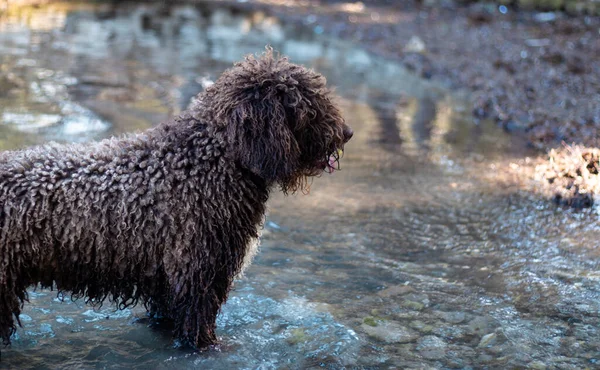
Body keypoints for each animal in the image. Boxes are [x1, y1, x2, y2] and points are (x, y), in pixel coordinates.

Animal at [0, 48, 352, 346]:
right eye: (308, 107)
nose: (347, 133)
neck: (211, 157)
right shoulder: (197, 278)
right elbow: (197, 333)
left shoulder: (168, 289)